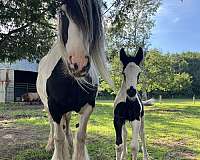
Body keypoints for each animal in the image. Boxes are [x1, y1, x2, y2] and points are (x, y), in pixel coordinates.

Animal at [37, 0, 113, 159]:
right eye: (62, 12)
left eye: (92, 14)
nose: (79, 64)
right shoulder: (54, 107)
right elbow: (58, 137)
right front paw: (57, 151)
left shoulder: (88, 106)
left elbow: (81, 136)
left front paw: (73, 147)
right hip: (48, 107)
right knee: (52, 126)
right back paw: (49, 146)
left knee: (66, 124)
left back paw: (69, 143)